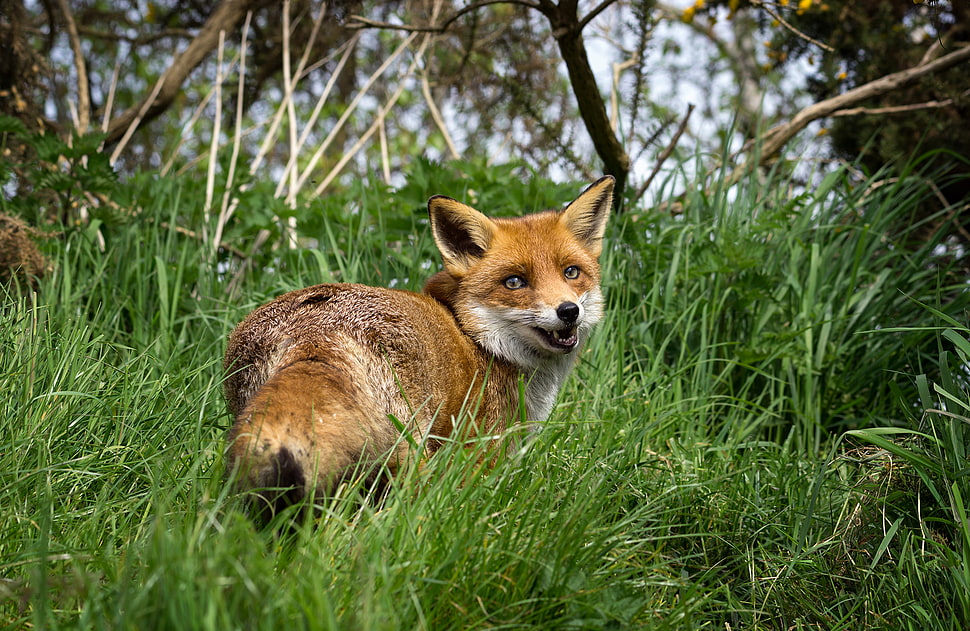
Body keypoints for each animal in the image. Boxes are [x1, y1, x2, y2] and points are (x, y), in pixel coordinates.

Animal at [223, 175, 608, 516]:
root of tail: (315, 331)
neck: (481, 342)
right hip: (410, 451)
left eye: (571, 272)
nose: (568, 311)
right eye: (514, 282)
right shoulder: (478, 451)